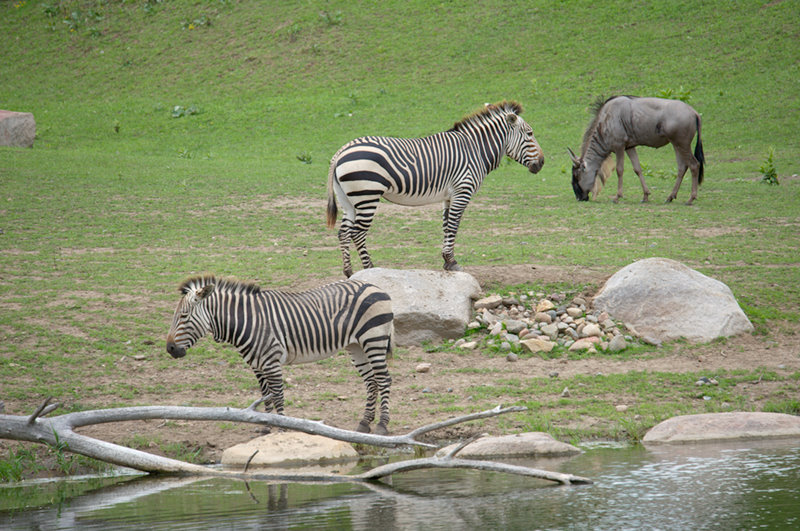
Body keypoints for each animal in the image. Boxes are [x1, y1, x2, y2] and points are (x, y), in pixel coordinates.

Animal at [166, 276, 396, 434]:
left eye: (184, 316)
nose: (170, 349)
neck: (247, 321)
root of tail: (372, 285)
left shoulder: (271, 362)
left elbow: (277, 395)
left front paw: (282, 428)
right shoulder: (257, 365)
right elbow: (265, 395)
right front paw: (266, 427)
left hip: (373, 339)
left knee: (384, 379)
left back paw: (382, 425)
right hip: (355, 345)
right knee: (371, 382)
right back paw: (364, 423)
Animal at [324, 101, 544, 280]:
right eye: (530, 134)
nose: (542, 163)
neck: (475, 150)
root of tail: (340, 152)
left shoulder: (449, 196)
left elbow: (446, 225)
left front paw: (447, 261)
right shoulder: (462, 191)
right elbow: (454, 226)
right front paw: (452, 262)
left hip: (348, 200)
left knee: (344, 232)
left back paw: (349, 271)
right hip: (367, 195)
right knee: (358, 233)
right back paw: (370, 269)